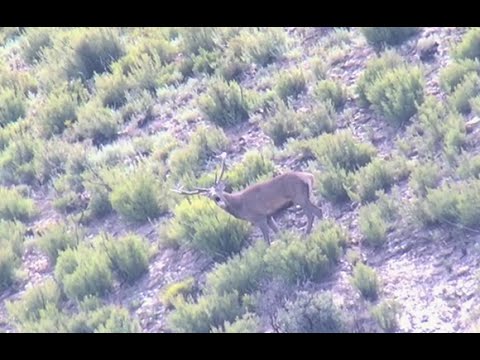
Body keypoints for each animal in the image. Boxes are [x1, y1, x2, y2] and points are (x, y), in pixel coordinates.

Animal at [171, 152, 324, 245]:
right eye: (210, 197)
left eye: (219, 189)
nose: (217, 198)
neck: (240, 208)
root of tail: (309, 176)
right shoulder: (268, 216)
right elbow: (279, 232)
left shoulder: (259, 217)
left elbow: (267, 241)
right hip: (305, 196)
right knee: (316, 211)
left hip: (299, 197)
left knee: (315, 212)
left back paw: (309, 233)